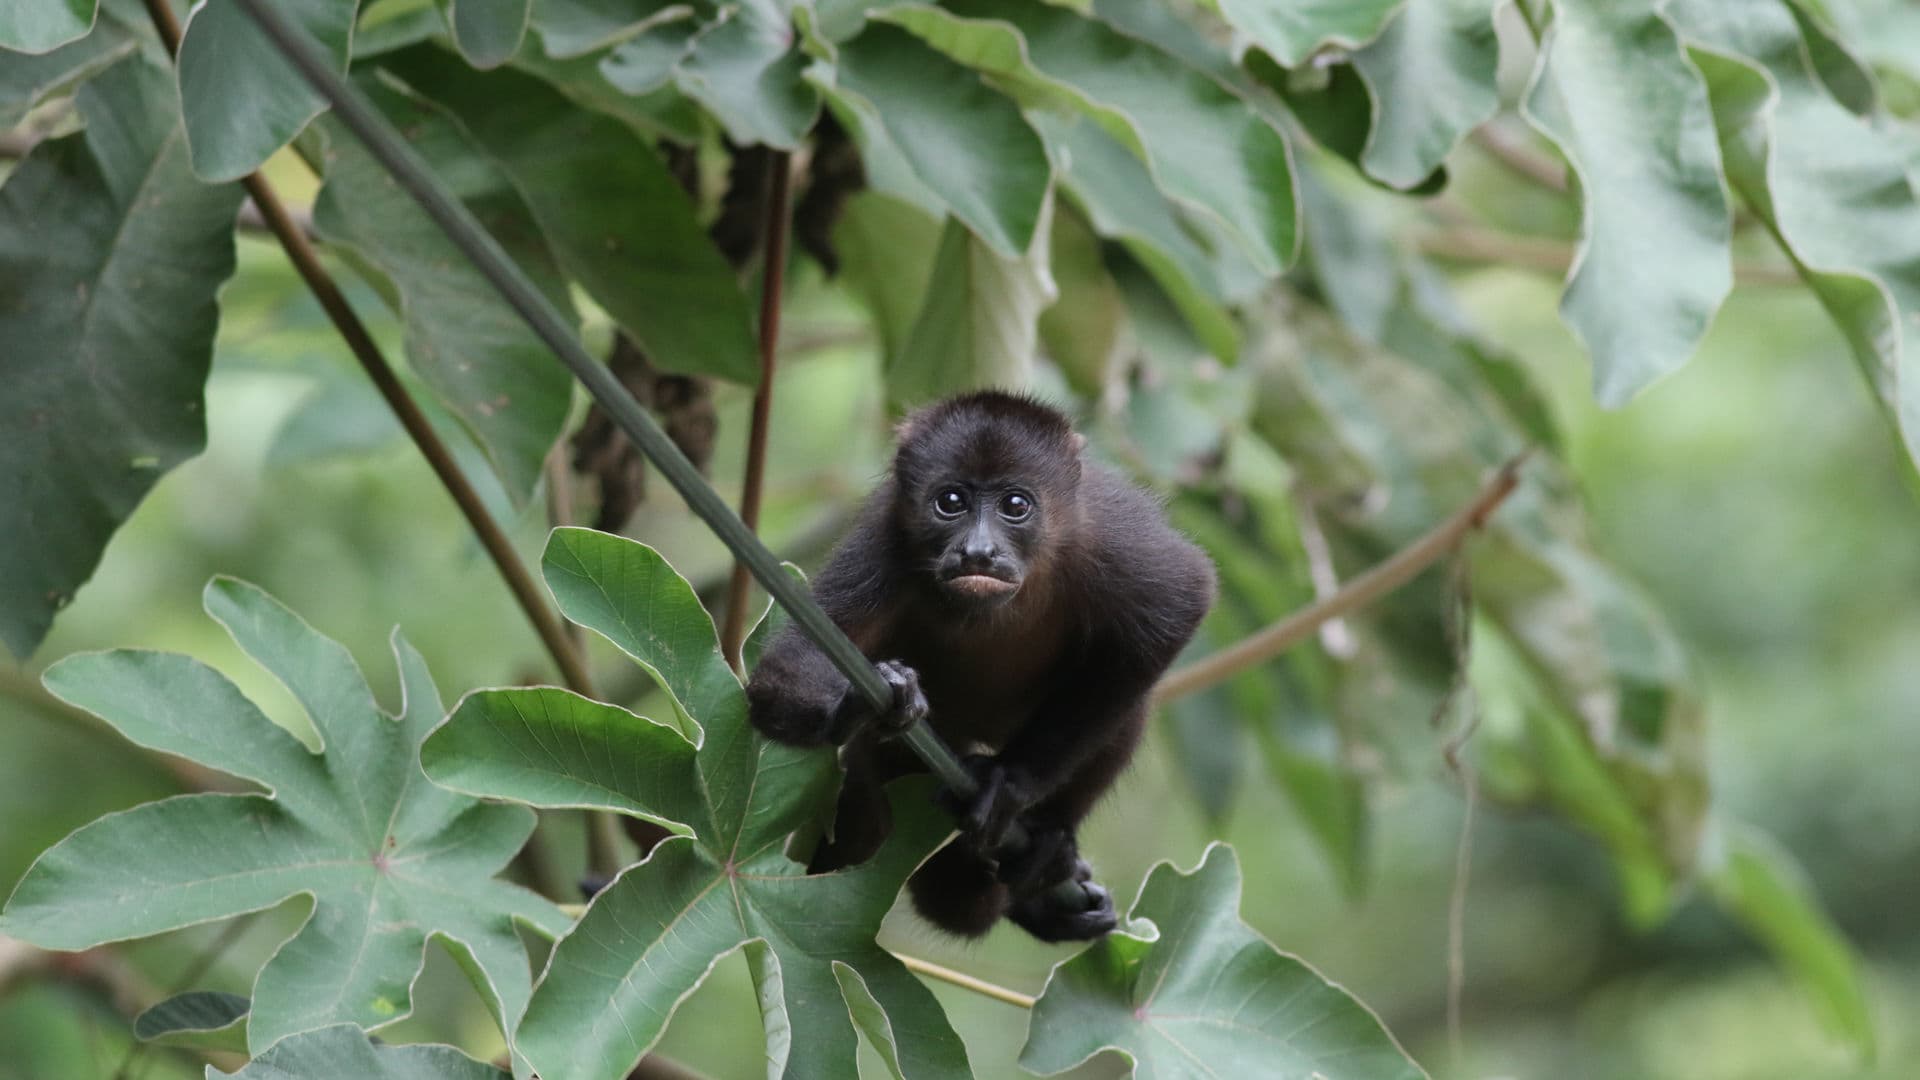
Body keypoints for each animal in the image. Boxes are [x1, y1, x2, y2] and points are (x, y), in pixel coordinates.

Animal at [748, 390, 1213, 937]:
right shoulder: (883, 539)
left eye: (1015, 505)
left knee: (1127, 704)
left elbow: (1183, 600)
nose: (979, 550)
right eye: (951, 502)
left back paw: (1050, 848)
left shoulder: (1109, 533)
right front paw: (859, 705)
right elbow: (783, 675)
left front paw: (1009, 780)